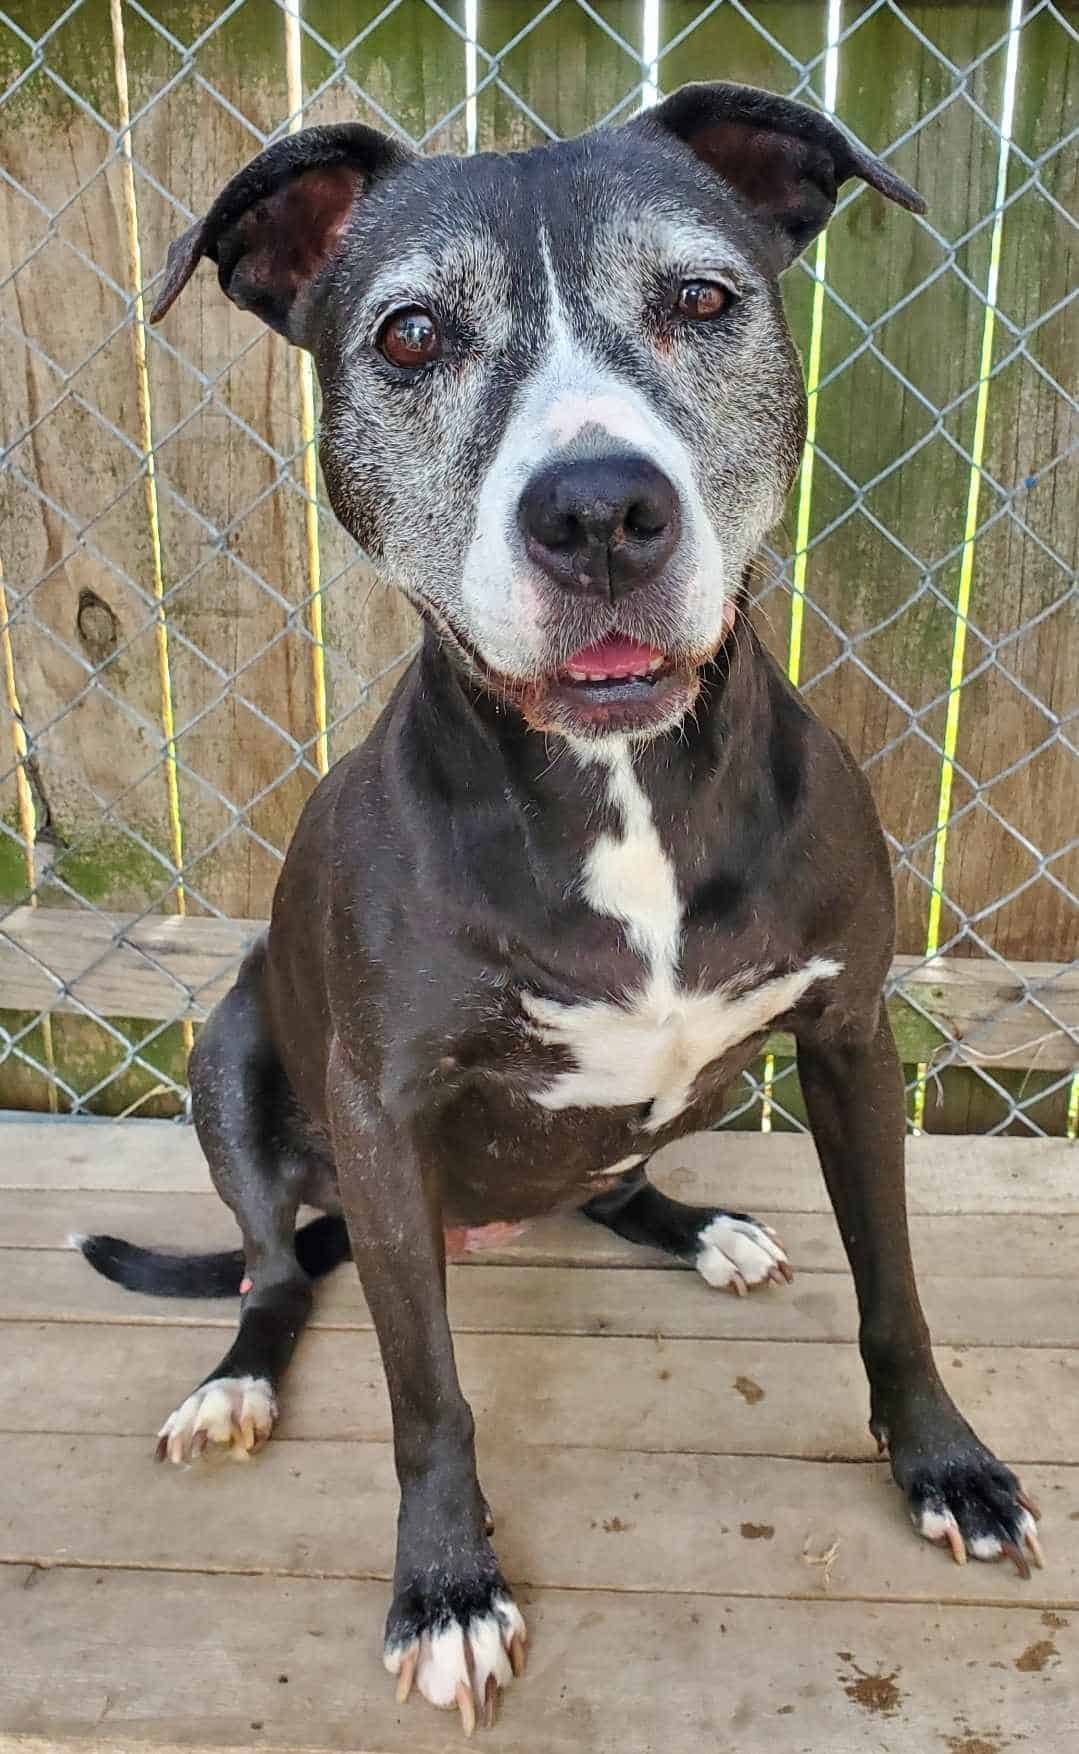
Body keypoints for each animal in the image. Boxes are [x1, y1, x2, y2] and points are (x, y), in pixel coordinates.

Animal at [78, 78, 1045, 1725]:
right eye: (409, 335)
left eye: (700, 299)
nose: (598, 510)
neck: (619, 785)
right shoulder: (381, 1111)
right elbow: (424, 1392)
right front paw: (446, 1586)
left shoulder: (853, 1038)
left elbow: (896, 1289)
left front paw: (946, 1464)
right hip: (234, 1061)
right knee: (274, 1270)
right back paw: (233, 1379)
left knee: (612, 1180)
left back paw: (698, 1225)